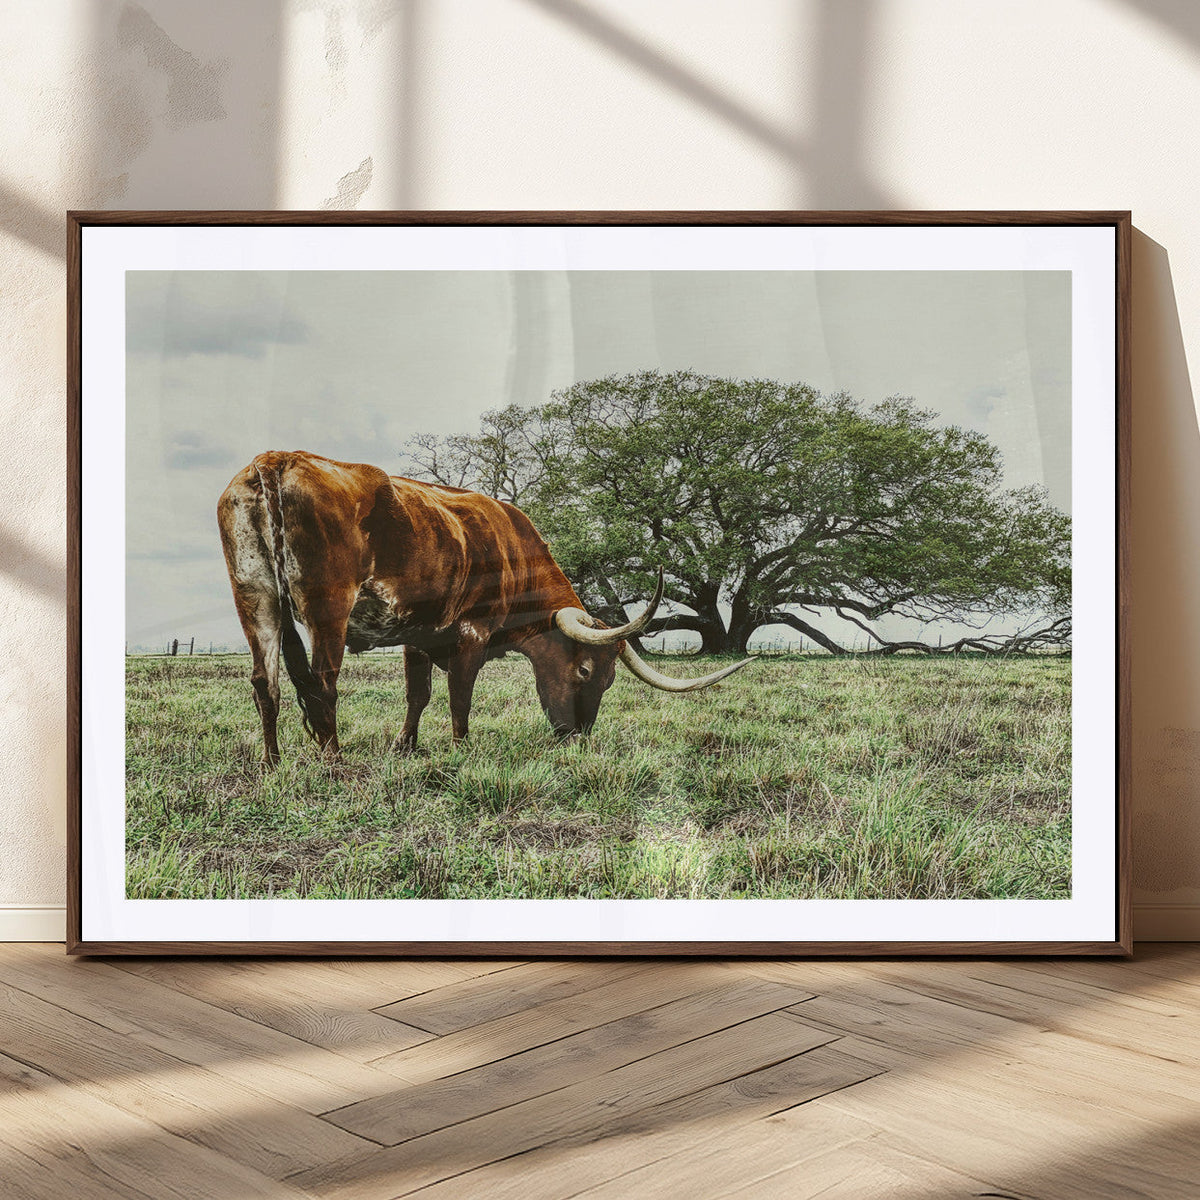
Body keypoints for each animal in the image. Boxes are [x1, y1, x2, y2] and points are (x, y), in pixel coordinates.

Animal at [217, 450, 753, 765]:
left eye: (609, 680)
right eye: (584, 671)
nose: (576, 737)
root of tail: (275, 459)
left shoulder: (416, 633)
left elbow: (417, 695)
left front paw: (406, 747)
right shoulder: (470, 632)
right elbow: (460, 696)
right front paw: (461, 748)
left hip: (255, 599)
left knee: (266, 683)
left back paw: (271, 763)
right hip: (328, 605)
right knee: (322, 681)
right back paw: (333, 761)